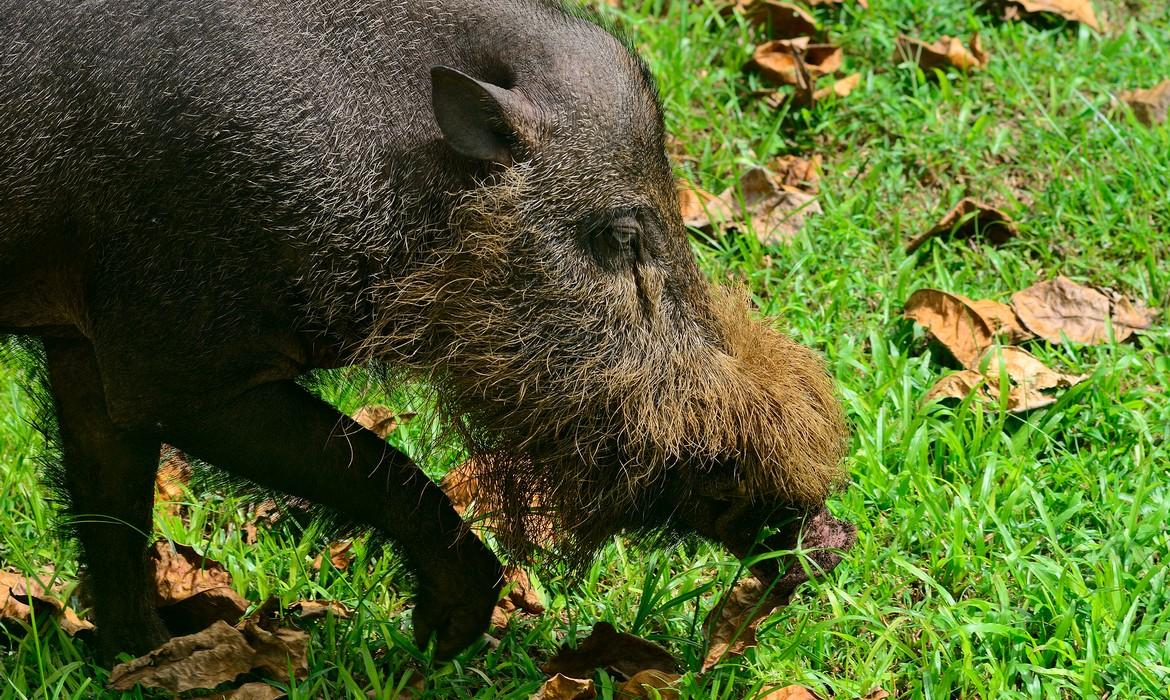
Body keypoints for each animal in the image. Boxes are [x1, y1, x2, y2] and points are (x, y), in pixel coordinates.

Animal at [0, 0, 854, 663]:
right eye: (620, 236)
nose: (824, 537)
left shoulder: (89, 354)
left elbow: (111, 515)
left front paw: (142, 658)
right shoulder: (174, 364)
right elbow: (384, 470)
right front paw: (442, 635)